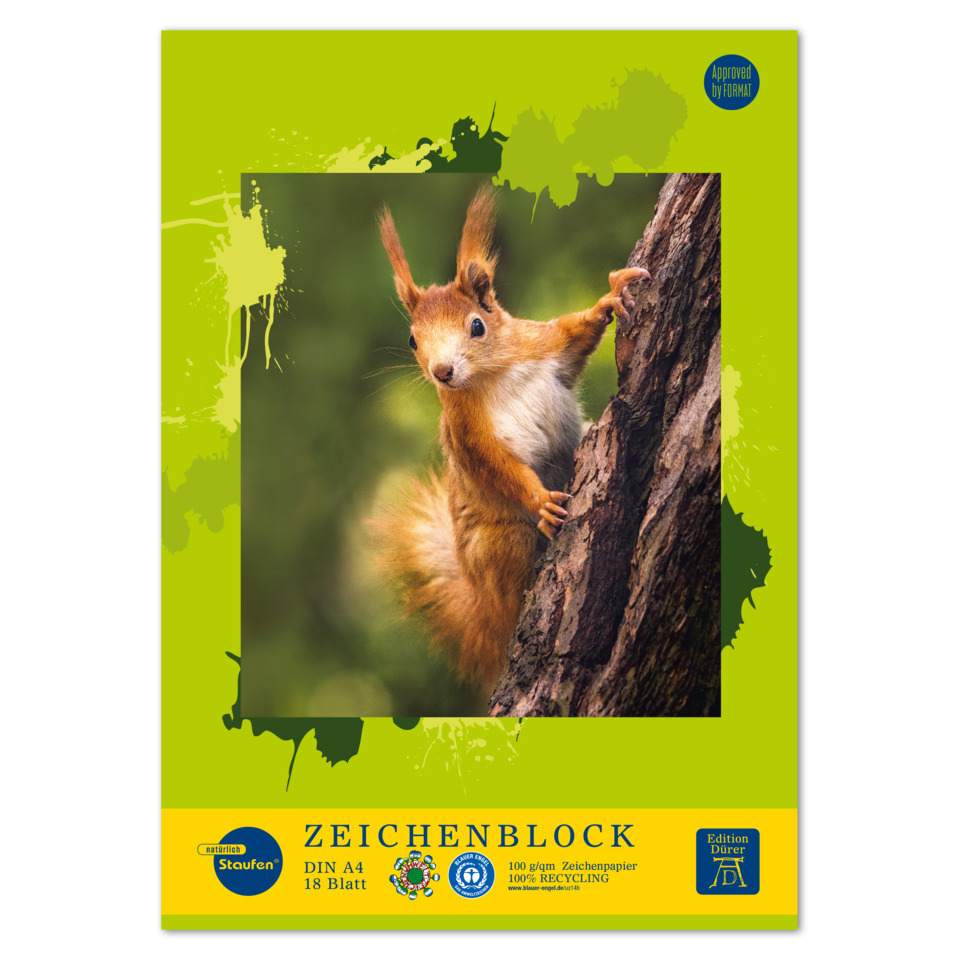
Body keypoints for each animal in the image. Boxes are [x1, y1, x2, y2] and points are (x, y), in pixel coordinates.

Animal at [374, 186, 650, 690]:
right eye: (412, 340)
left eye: (477, 325)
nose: (442, 372)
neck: (491, 376)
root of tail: (485, 610)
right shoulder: (468, 434)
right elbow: (499, 468)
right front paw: (540, 501)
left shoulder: (544, 344)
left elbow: (576, 332)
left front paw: (610, 298)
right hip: (500, 546)